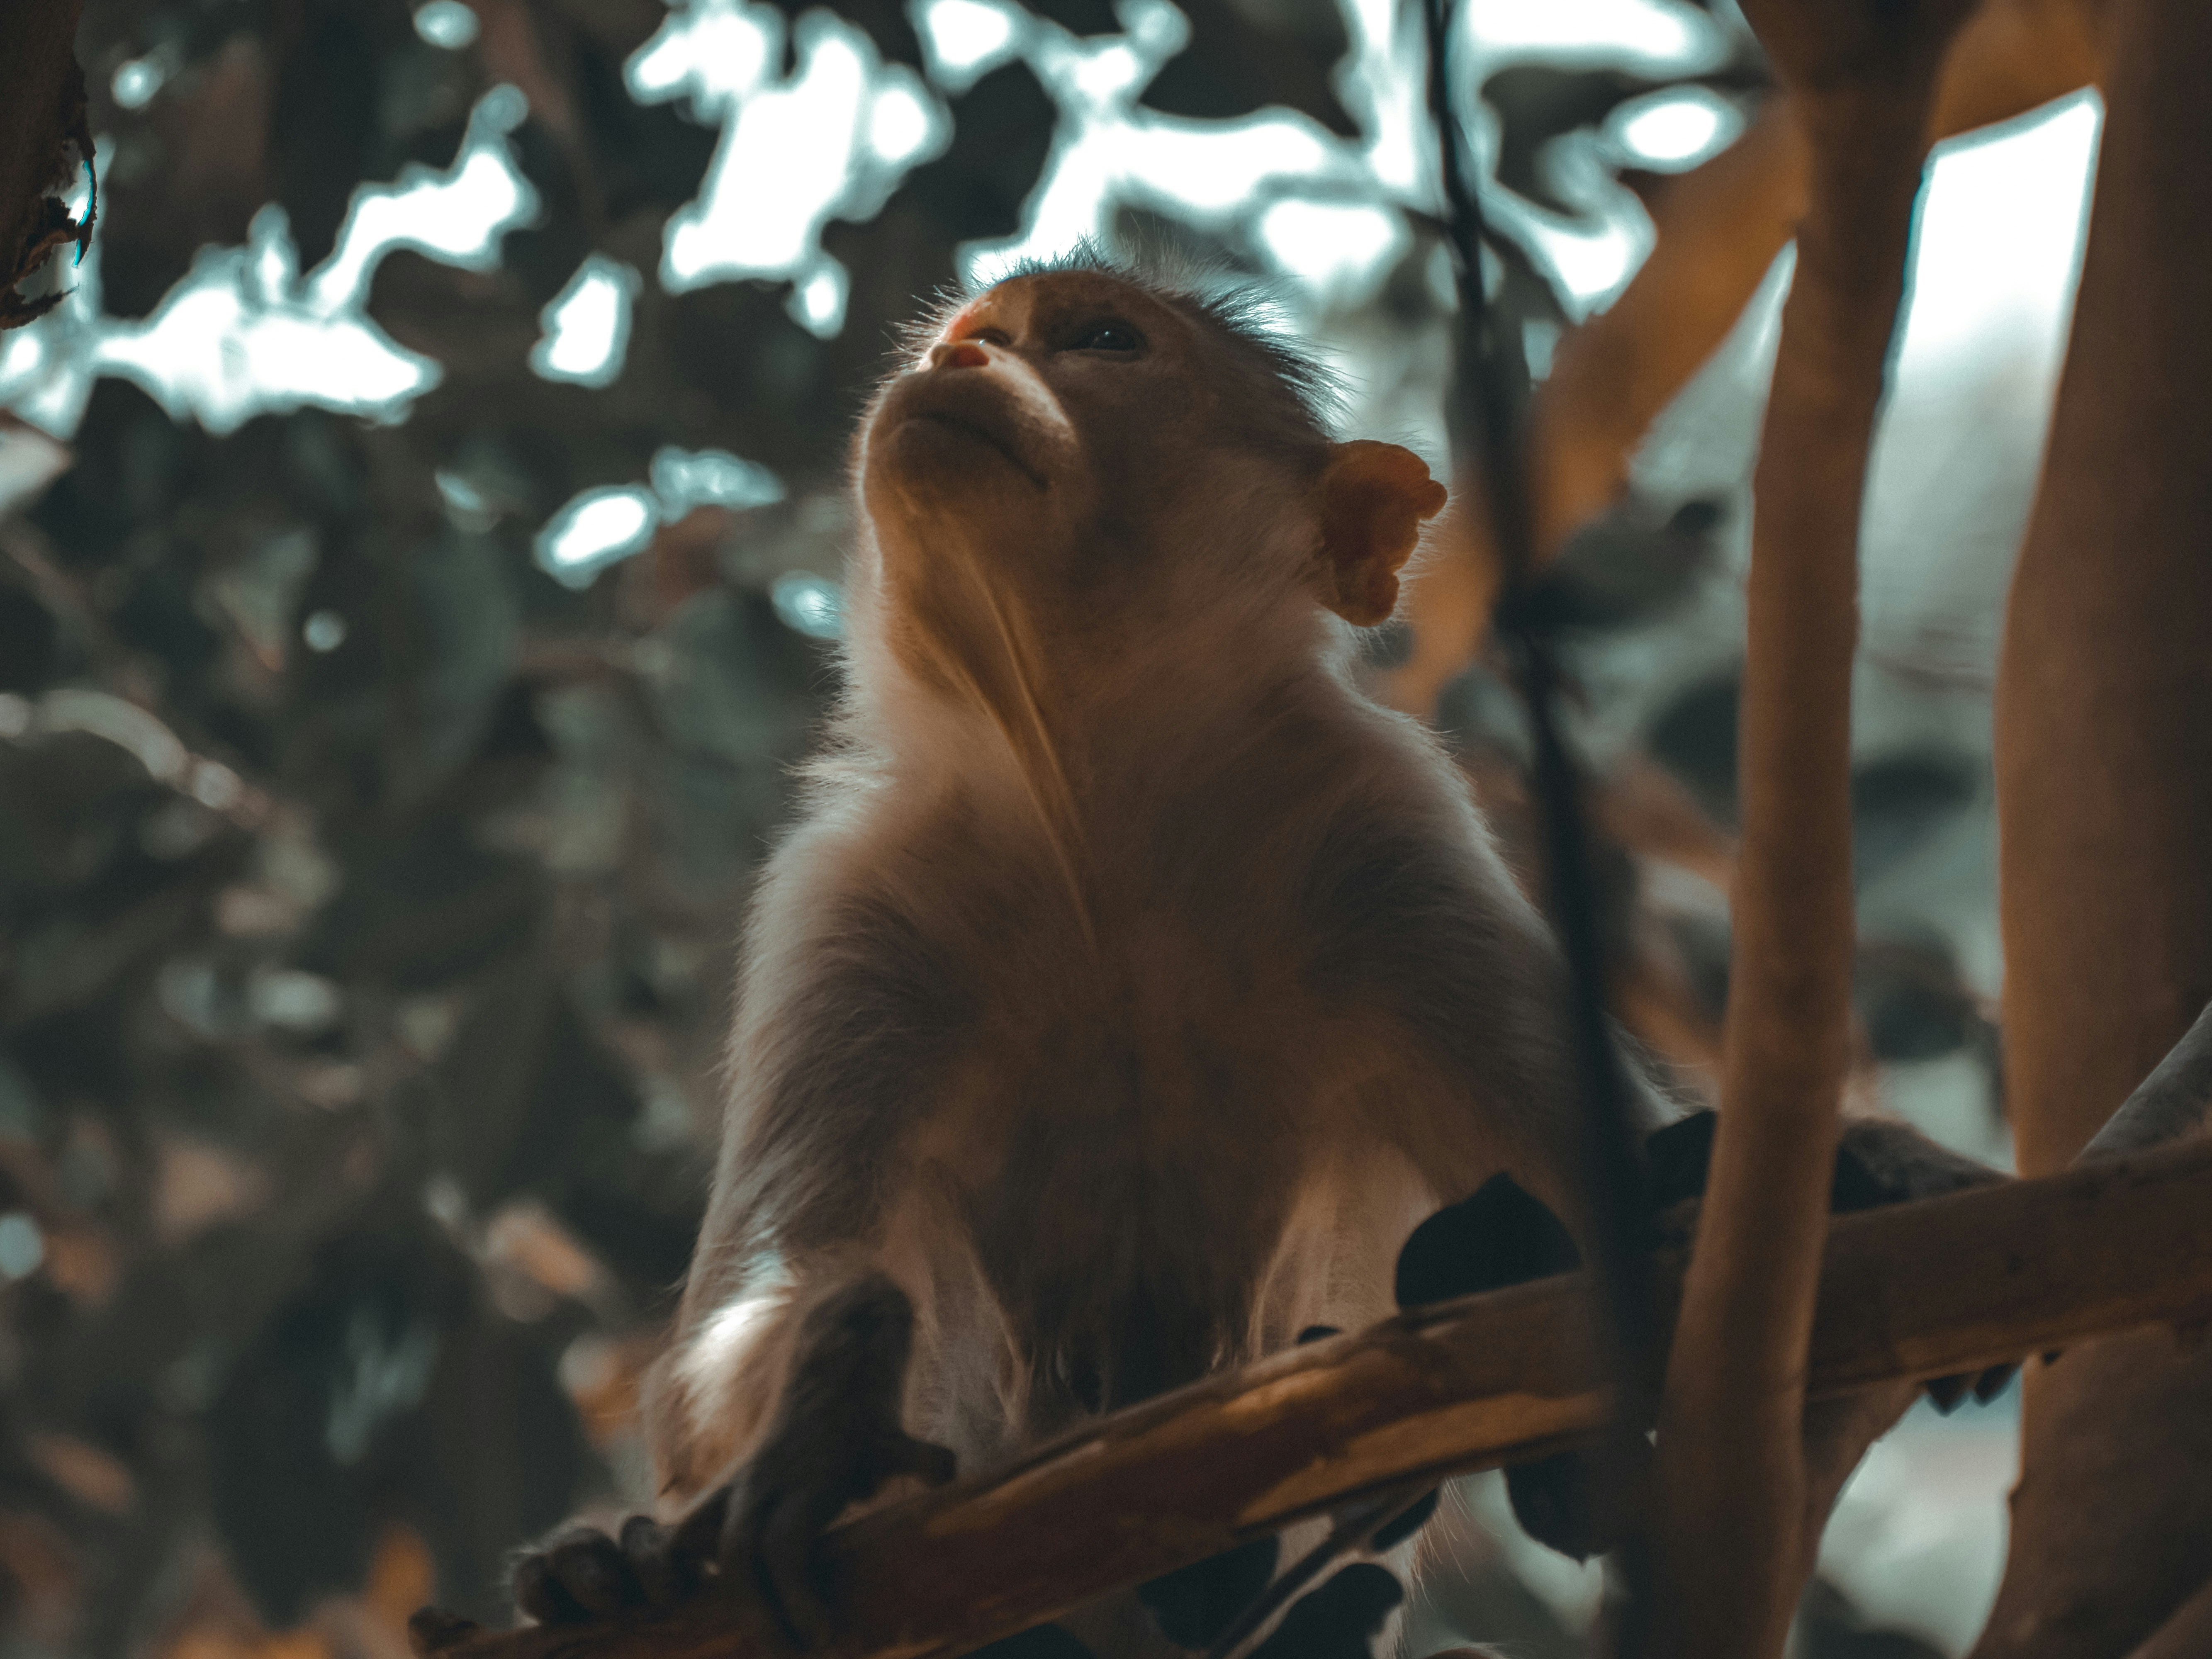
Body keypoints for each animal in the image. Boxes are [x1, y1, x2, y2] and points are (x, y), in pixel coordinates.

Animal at [495, 250, 2004, 1657]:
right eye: (961, 338)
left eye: (1102, 341)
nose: (964, 360)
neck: (1101, 815)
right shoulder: (854, 905)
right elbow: (757, 1315)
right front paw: (819, 1408)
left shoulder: (1385, 842)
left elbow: (1614, 1184)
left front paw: (1872, 1172)